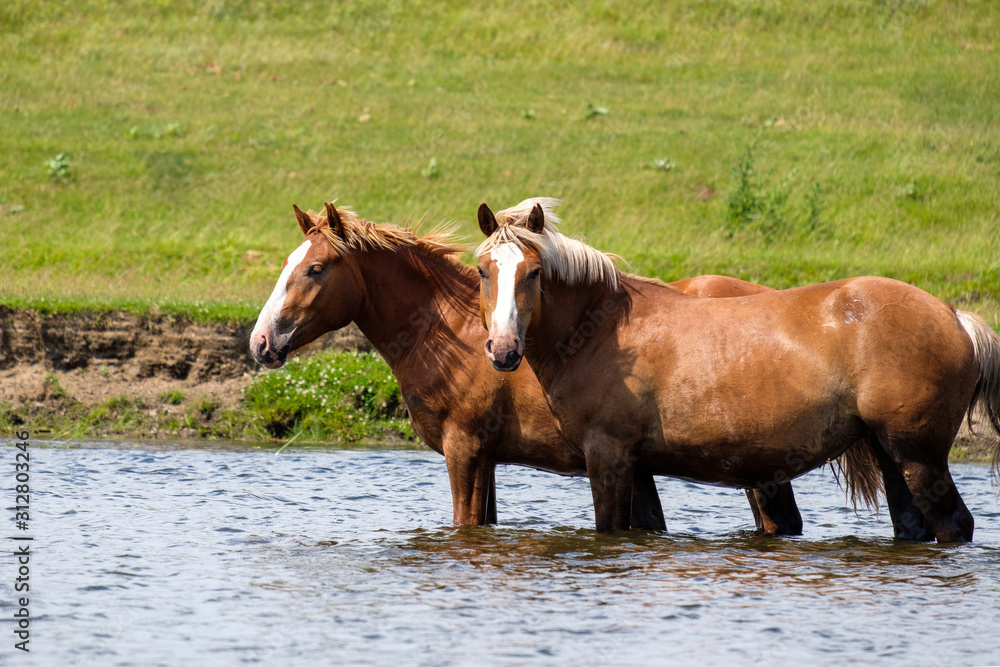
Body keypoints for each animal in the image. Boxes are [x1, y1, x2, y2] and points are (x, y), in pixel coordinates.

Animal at [250, 202, 804, 532]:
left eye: (315, 268)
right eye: (285, 264)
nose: (261, 342)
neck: (454, 333)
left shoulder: (465, 450)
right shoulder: (489, 459)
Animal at [474, 197, 1000, 544]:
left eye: (533, 272)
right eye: (483, 271)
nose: (503, 350)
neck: (603, 330)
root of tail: (955, 316)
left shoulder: (607, 457)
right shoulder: (637, 465)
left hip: (920, 456)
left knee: (955, 525)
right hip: (889, 454)